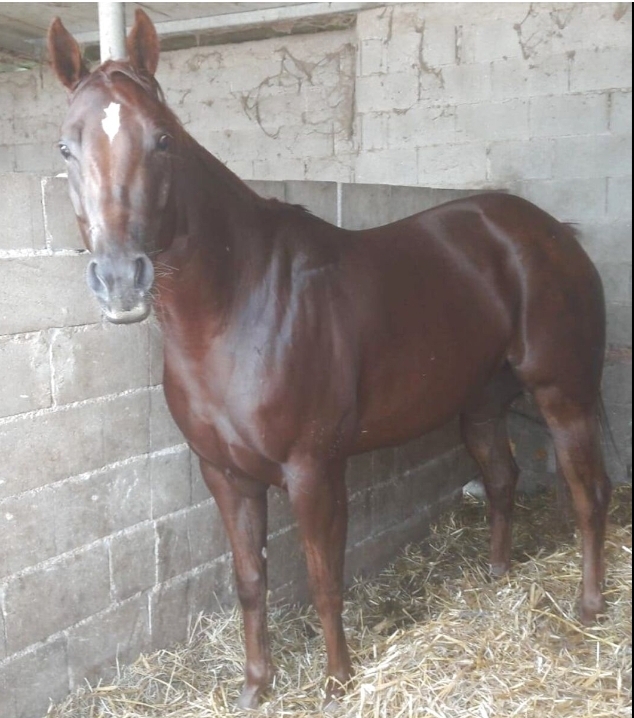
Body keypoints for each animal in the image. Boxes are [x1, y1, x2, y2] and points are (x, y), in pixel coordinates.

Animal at [48, 9, 612, 711]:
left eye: (162, 140)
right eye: (65, 148)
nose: (121, 279)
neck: (238, 306)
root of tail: (554, 233)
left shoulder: (314, 471)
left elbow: (323, 578)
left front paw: (337, 683)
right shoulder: (224, 475)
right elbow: (250, 582)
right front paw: (254, 687)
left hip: (564, 394)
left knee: (588, 493)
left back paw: (589, 607)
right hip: (481, 402)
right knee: (504, 481)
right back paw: (496, 575)